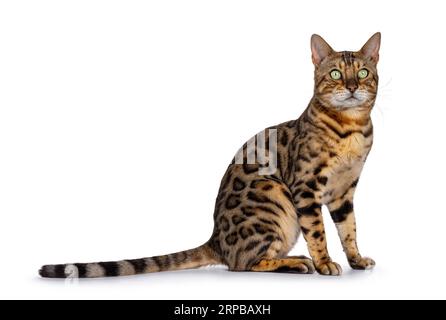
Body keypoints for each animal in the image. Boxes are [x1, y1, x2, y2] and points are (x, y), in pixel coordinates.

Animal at [40, 33, 380, 278]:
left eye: (363, 72)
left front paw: (356, 259)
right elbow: (318, 232)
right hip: (273, 197)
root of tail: (215, 240)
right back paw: (296, 262)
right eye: (335, 73)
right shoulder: (306, 187)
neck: (351, 128)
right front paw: (324, 263)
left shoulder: (344, 192)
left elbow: (349, 229)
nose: (352, 86)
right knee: (244, 263)